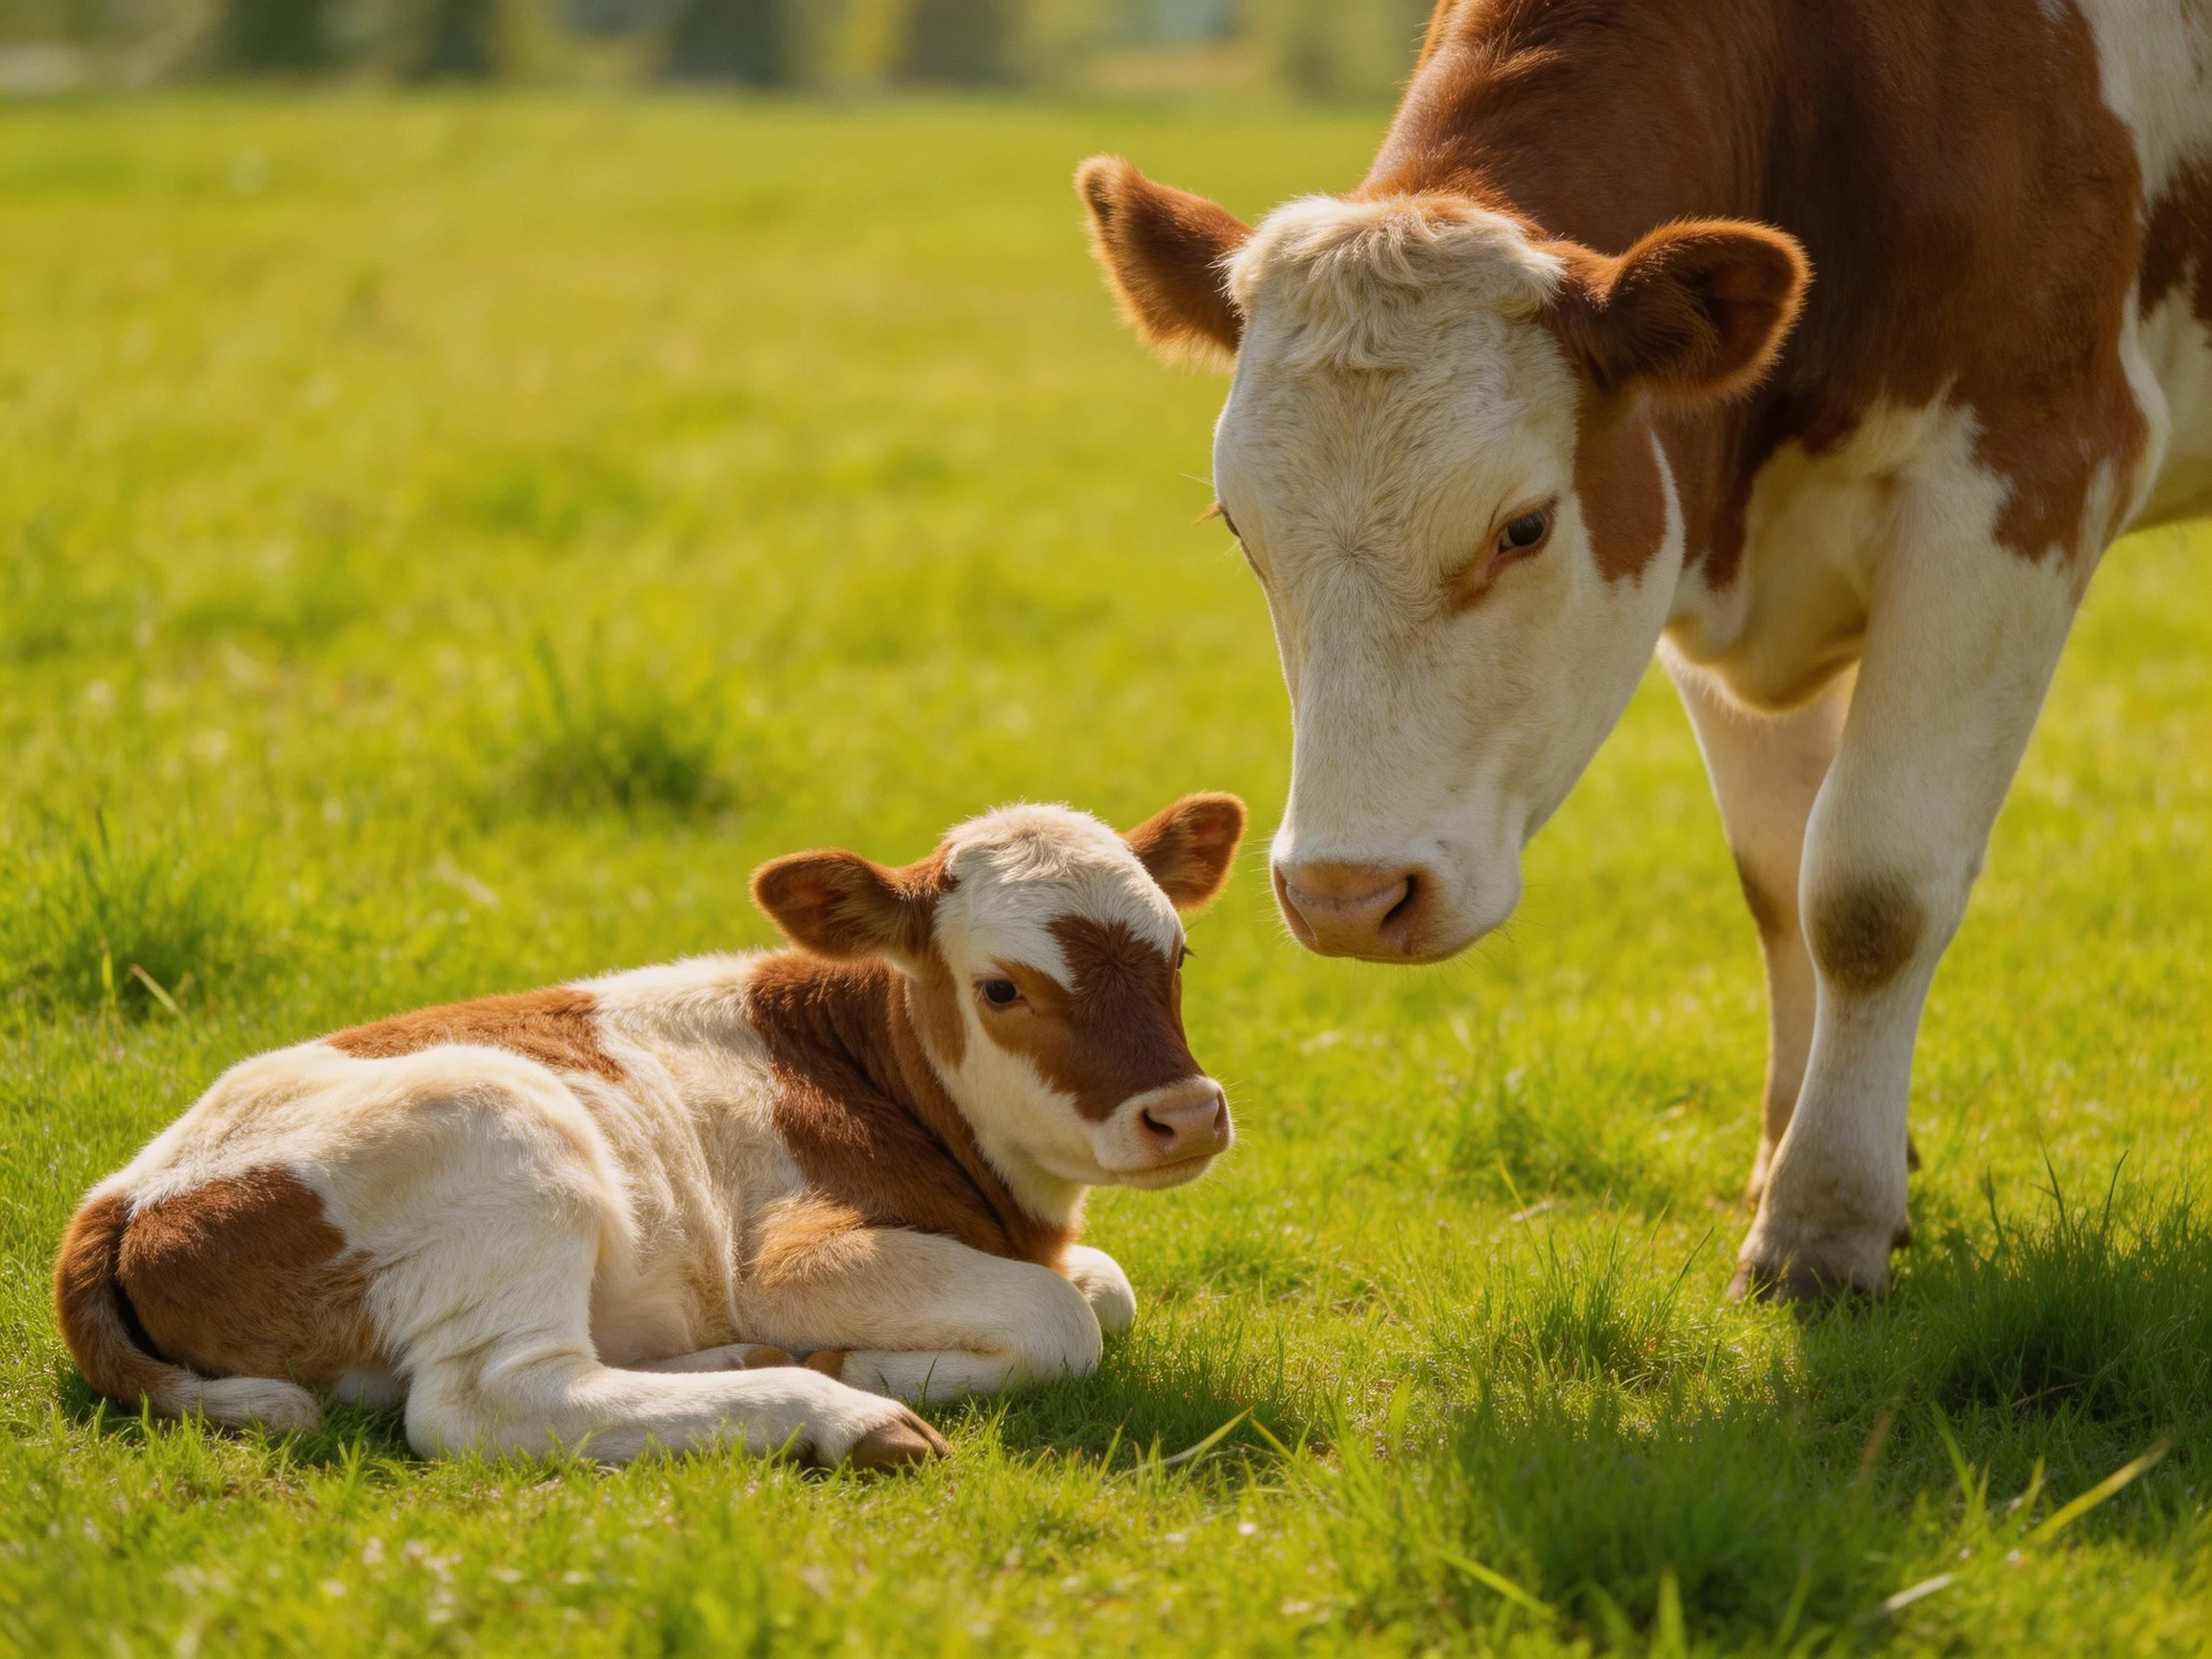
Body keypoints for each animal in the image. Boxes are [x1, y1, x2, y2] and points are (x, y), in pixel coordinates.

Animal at [53, 795, 1246, 1466]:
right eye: (1002, 989)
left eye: (1179, 954)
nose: (1186, 1114)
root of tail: (124, 1191)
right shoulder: (795, 1256)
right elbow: (1063, 1318)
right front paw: (871, 1363)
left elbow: (1105, 1288)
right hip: (505, 1144)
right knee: (490, 1404)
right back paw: (841, 1410)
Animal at [1077, 0, 2208, 1300]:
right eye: (1239, 528)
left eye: (1523, 526)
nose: (1346, 896)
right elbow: (1780, 880)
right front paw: (1787, 1162)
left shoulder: (2027, 474)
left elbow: (1869, 890)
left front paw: (1824, 1220)